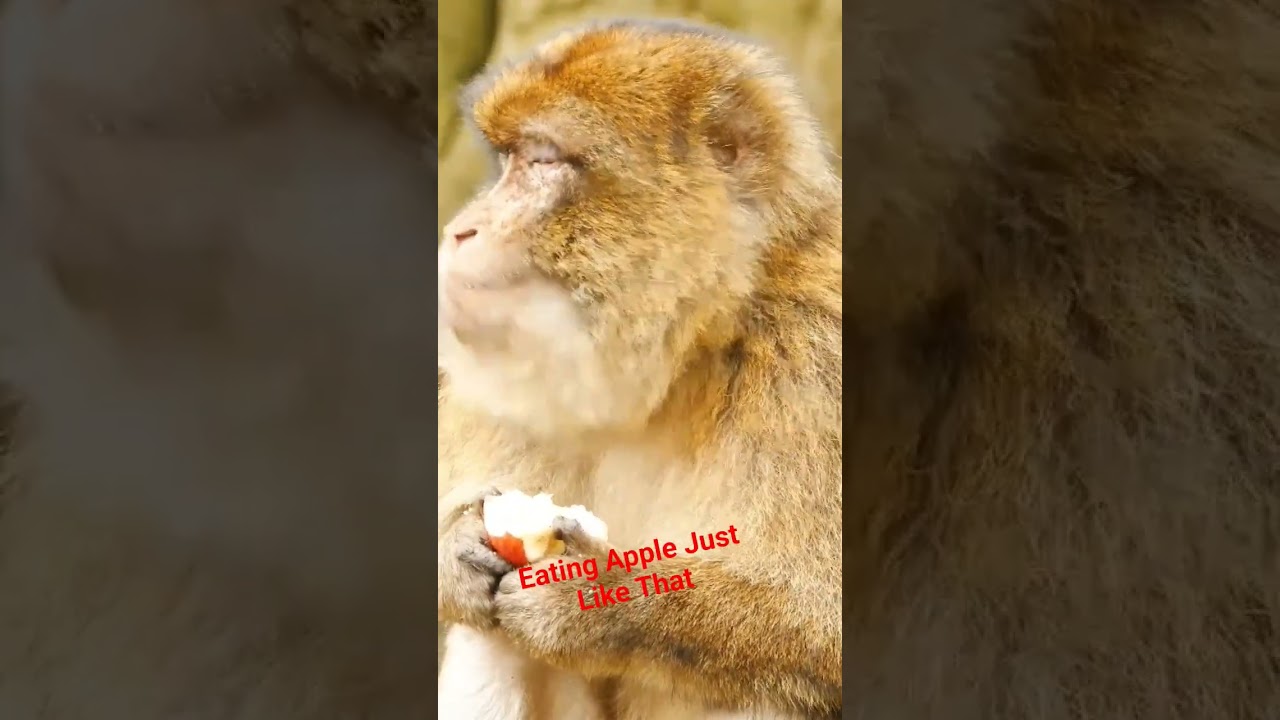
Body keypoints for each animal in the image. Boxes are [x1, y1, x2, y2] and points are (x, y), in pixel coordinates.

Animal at [436, 19, 843, 720]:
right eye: (509, 159)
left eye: (544, 159)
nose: (462, 229)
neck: (689, 357)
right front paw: (455, 547)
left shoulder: (819, 361)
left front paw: (595, 595)